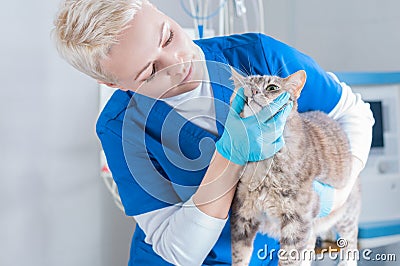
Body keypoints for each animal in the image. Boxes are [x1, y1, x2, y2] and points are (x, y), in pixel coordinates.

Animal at [230, 69, 360, 266]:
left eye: (272, 87)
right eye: (247, 85)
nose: (253, 91)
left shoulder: (298, 221)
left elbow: (289, 259)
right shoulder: (243, 213)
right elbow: (240, 255)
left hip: (346, 216)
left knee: (351, 246)